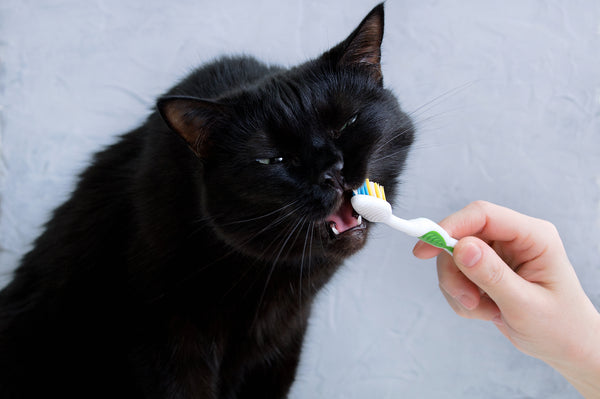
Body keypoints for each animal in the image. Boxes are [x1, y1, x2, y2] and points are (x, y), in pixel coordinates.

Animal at [0, 3, 412, 399]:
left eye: (346, 124)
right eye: (274, 160)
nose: (332, 171)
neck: (271, 274)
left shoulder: (283, 343)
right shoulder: (165, 342)